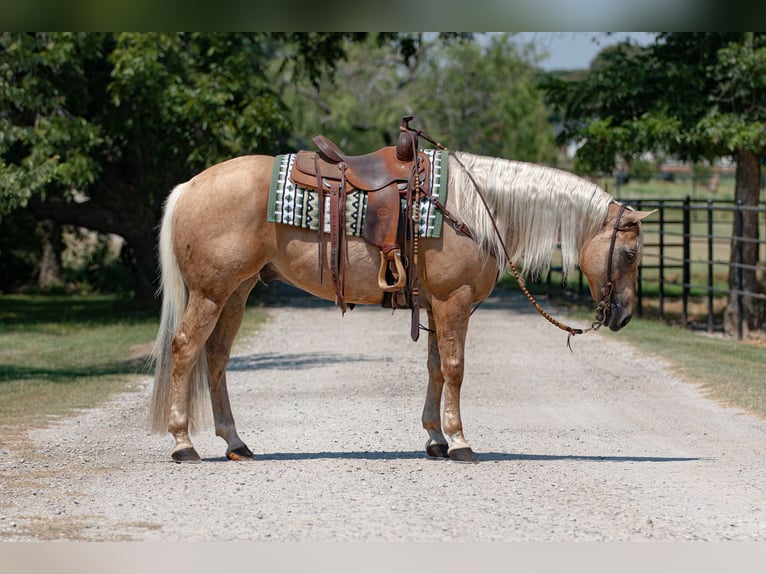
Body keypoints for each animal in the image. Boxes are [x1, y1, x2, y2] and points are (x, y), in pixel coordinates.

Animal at [152, 152, 656, 464]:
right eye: (631, 254)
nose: (623, 315)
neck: (476, 209)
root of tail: (189, 186)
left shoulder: (436, 305)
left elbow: (435, 367)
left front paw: (435, 438)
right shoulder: (454, 301)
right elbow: (454, 368)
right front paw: (460, 442)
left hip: (236, 292)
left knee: (216, 358)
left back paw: (235, 442)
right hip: (211, 293)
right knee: (185, 350)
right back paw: (183, 444)